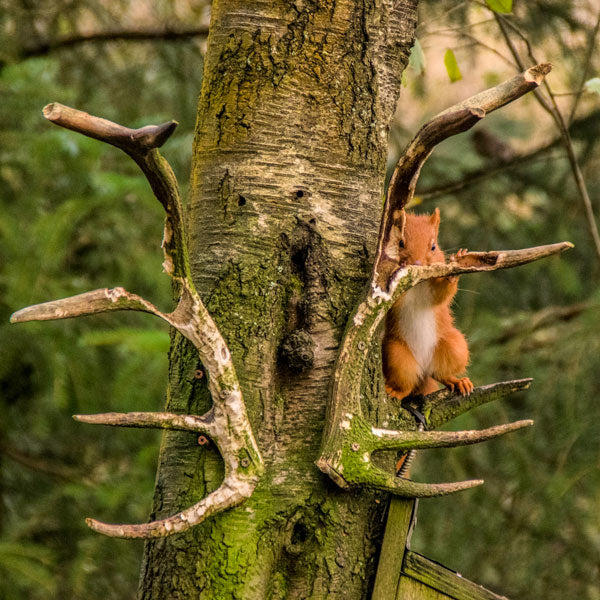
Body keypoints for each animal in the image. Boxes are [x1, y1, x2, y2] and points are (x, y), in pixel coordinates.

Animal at [384, 209, 474, 400]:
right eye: (400, 243)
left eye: (433, 247)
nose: (417, 264)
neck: (416, 285)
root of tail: (424, 366)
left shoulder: (432, 292)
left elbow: (441, 295)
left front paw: (453, 272)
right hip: (396, 356)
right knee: (407, 384)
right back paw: (396, 391)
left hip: (455, 347)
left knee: (440, 374)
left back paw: (457, 381)